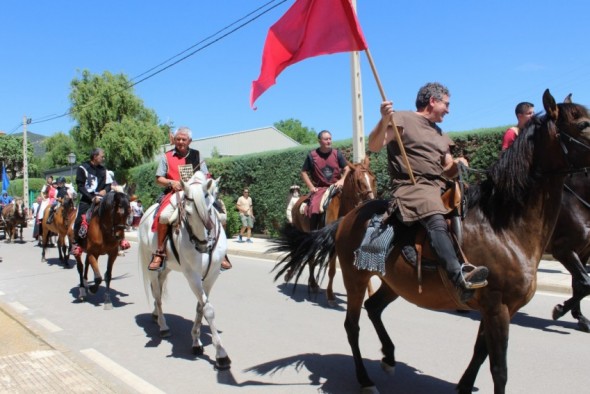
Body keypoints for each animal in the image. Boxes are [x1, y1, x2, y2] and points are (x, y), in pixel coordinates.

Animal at [139, 172, 231, 370]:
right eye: (187, 213)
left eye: (211, 208)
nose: (203, 245)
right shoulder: (192, 276)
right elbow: (208, 309)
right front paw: (221, 354)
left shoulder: (211, 276)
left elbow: (200, 307)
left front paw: (196, 341)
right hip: (152, 267)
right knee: (157, 294)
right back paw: (163, 326)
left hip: (166, 268)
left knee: (159, 286)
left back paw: (155, 315)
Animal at [288, 156, 380, 298]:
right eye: (359, 181)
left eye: (373, 178)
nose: (371, 202)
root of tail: (296, 203)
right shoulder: (333, 245)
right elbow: (331, 270)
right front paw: (330, 295)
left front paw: (370, 293)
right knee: (310, 260)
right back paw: (311, 283)